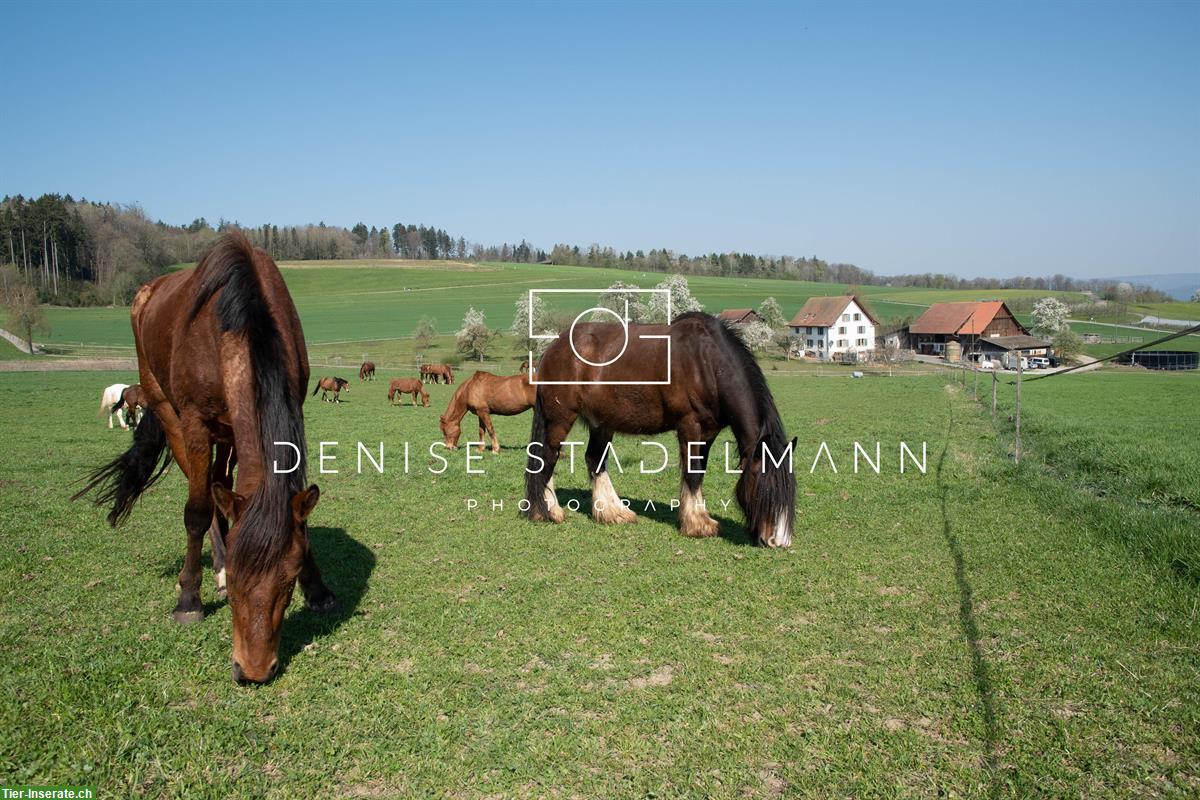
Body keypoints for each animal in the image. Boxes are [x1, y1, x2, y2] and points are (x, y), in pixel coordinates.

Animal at [73, 232, 337, 684]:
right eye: (238, 590)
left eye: (287, 582)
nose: (253, 670)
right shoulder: (195, 423)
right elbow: (197, 511)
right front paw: (190, 599)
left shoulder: (294, 406)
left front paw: (317, 589)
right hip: (169, 411)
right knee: (204, 496)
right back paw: (210, 572)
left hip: (228, 435)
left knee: (223, 484)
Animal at [524, 312, 796, 547]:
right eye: (766, 488)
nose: (778, 541)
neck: (707, 363)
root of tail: (553, 348)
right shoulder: (690, 425)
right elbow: (692, 473)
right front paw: (697, 524)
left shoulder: (708, 433)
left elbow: (699, 472)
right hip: (560, 419)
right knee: (548, 458)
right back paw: (548, 512)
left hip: (602, 423)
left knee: (595, 460)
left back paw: (613, 513)